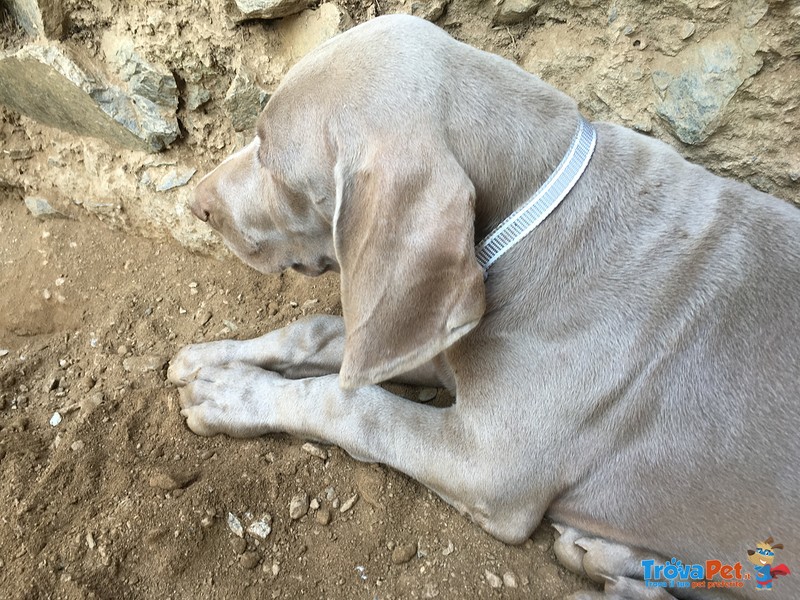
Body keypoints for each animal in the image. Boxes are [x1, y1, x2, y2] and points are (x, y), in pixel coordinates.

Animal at [166, 14, 796, 600]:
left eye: (272, 158)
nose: (196, 204)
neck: (536, 220)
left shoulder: (487, 468)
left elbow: (353, 403)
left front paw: (232, 393)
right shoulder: (429, 334)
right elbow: (315, 334)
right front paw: (210, 357)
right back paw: (608, 557)